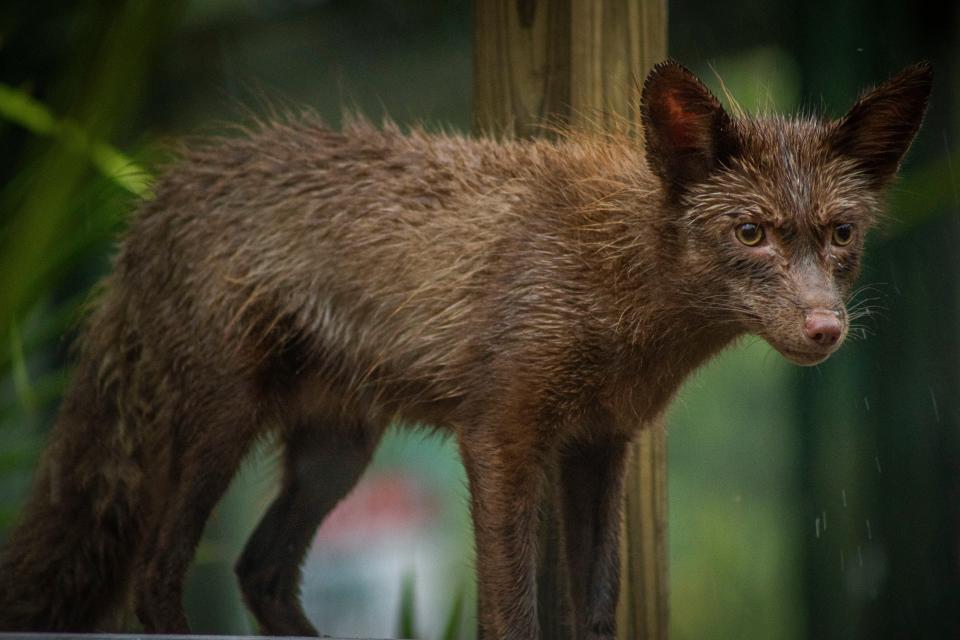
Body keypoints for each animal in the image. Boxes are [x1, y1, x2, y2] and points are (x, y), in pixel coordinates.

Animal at [0, 58, 932, 636]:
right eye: (751, 233)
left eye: (840, 234)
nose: (826, 329)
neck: (616, 292)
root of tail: (152, 204)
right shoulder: (501, 438)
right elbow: (512, 612)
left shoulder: (598, 445)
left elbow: (596, 606)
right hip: (220, 428)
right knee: (159, 576)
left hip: (336, 453)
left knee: (261, 571)